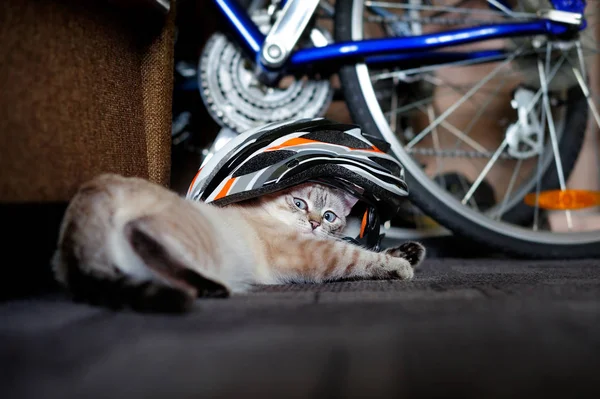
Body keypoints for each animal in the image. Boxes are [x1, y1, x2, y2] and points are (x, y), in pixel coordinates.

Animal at [52, 173, 426, 314]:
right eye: (300, 204)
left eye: (330, 215)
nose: (314, 223)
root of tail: (98, 185)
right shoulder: (312, 252)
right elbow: (357, 255)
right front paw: (400, 266)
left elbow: (368, 248)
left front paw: (410, 252)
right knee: (139, 232)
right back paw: (209, 288)